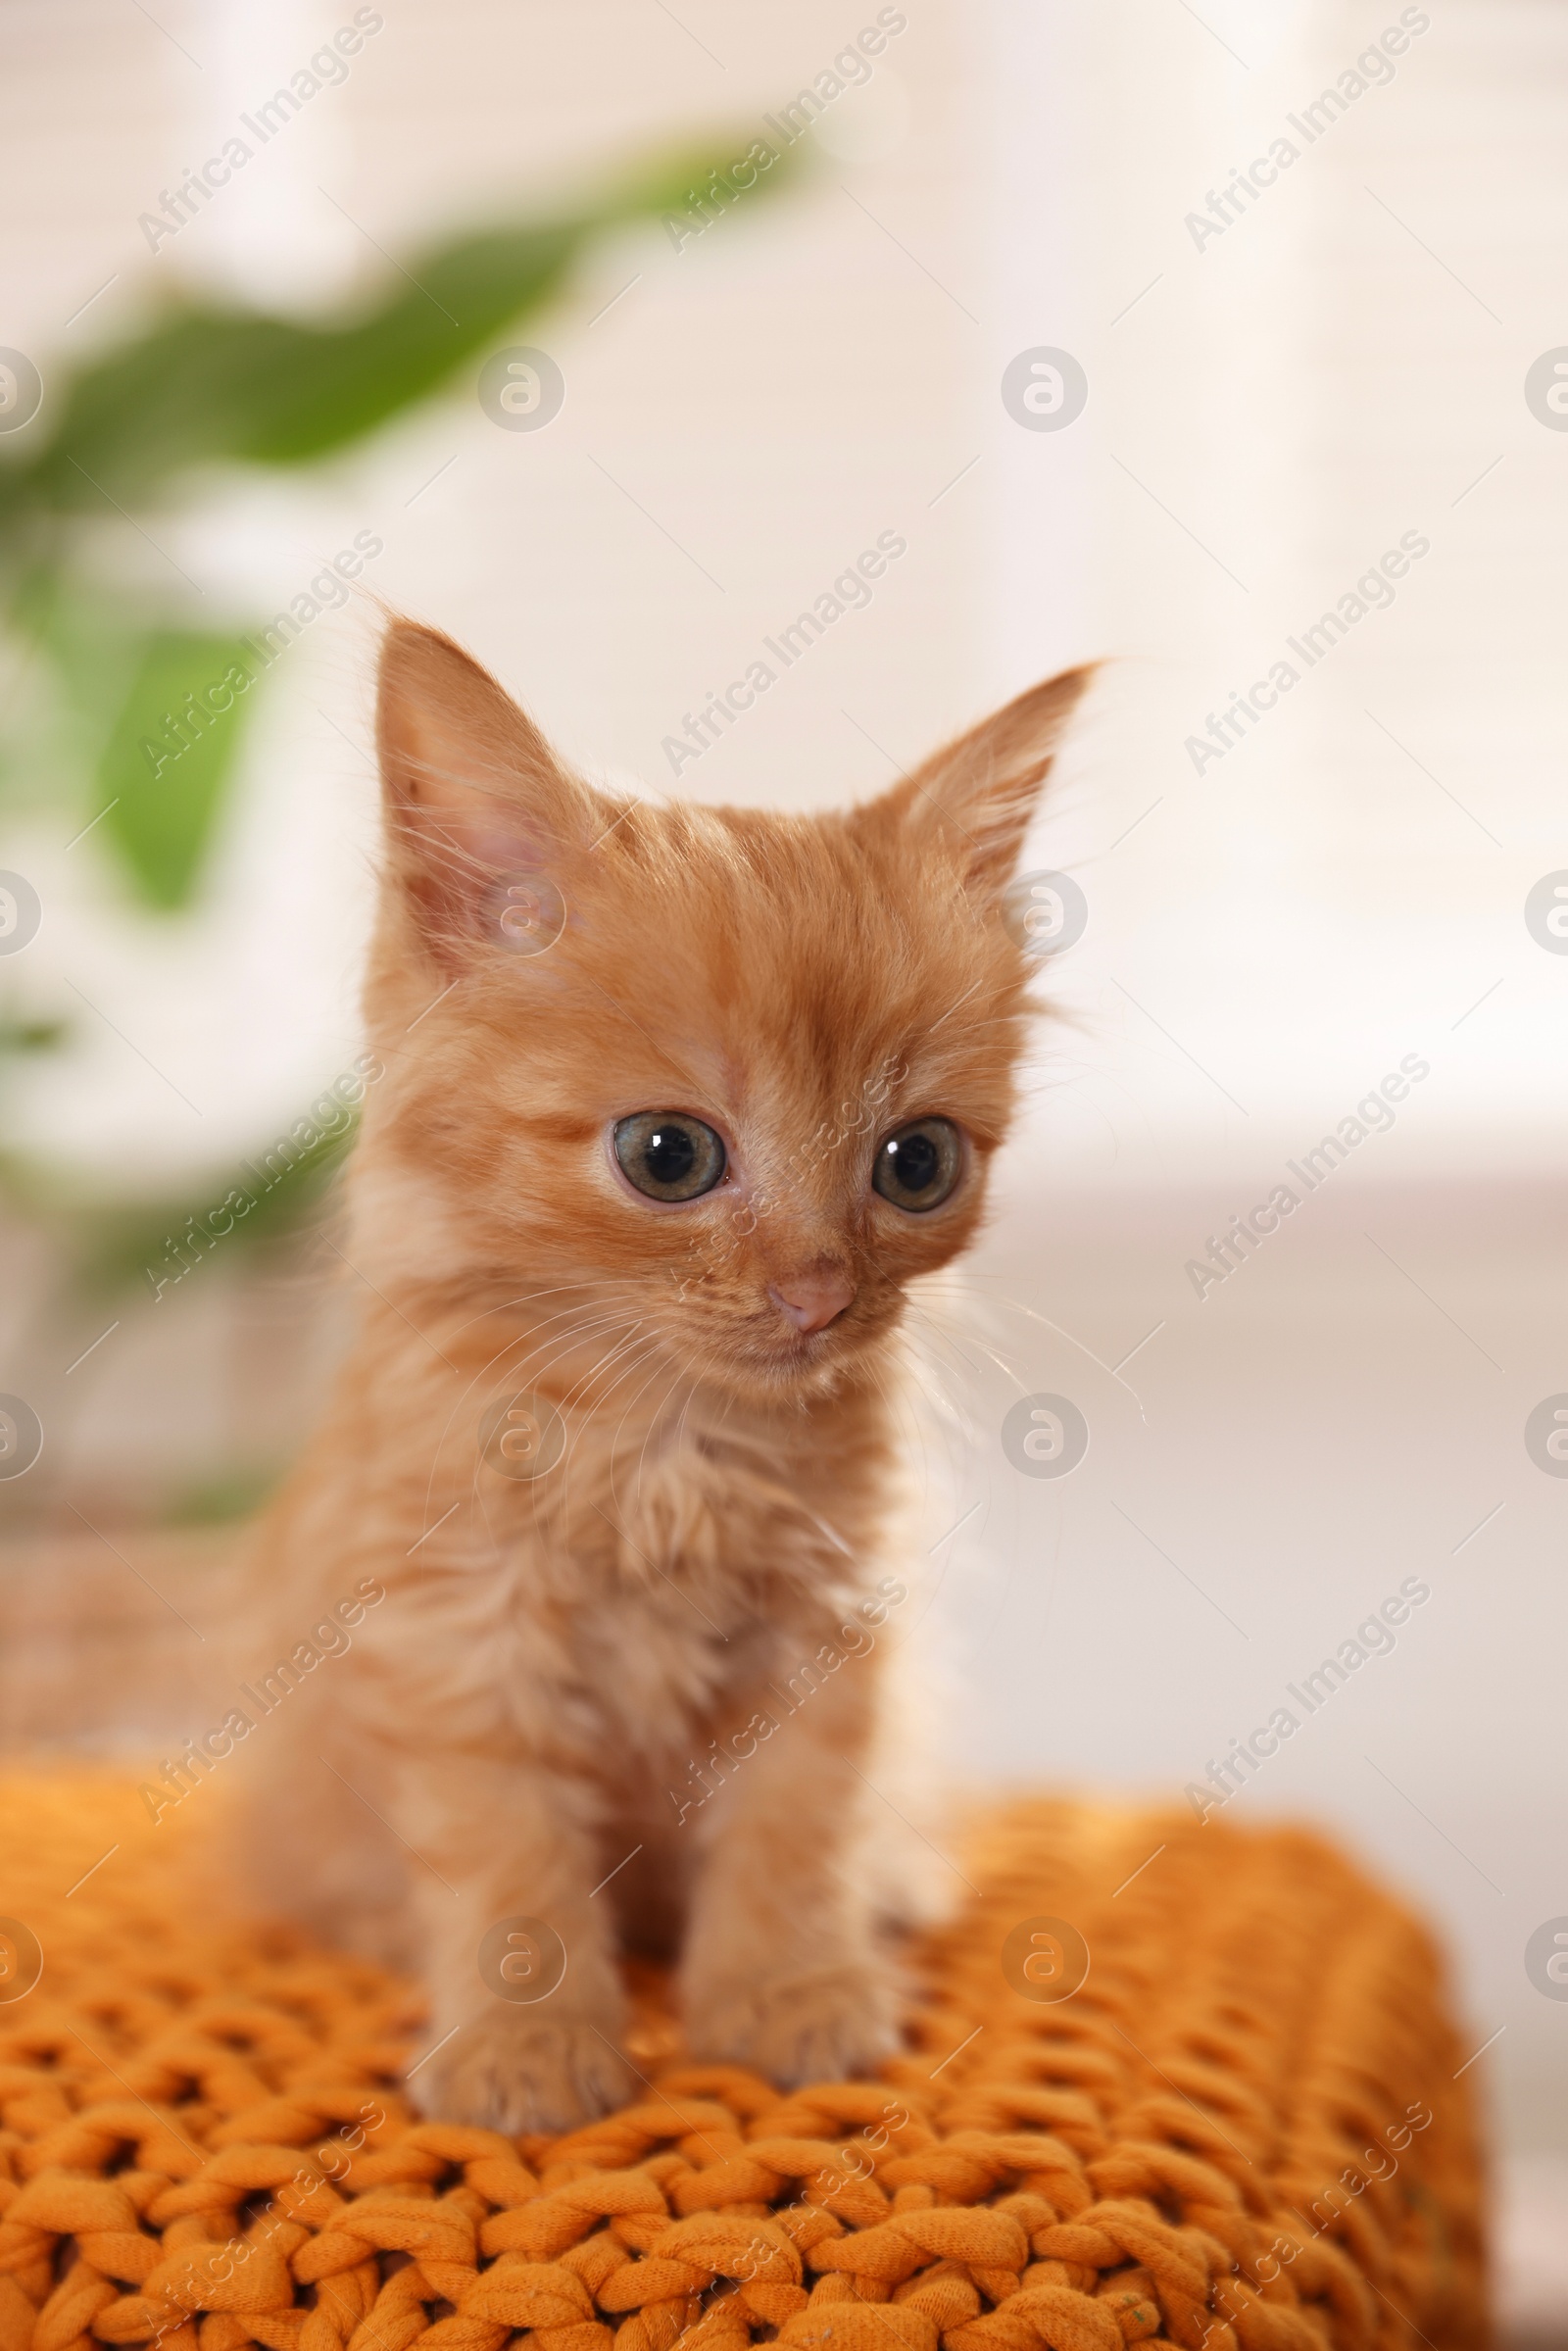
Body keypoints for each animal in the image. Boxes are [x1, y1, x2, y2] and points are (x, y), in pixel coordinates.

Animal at [242, 625, 1091, 2134]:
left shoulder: (826, 1621)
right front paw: (528, 2048)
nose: (820, 1289)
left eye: (917, 1161)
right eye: (667, 1154)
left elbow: (796, 1826)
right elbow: (502, 1856)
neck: (663, 1438)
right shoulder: (458, 1631)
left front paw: (786, 1994)